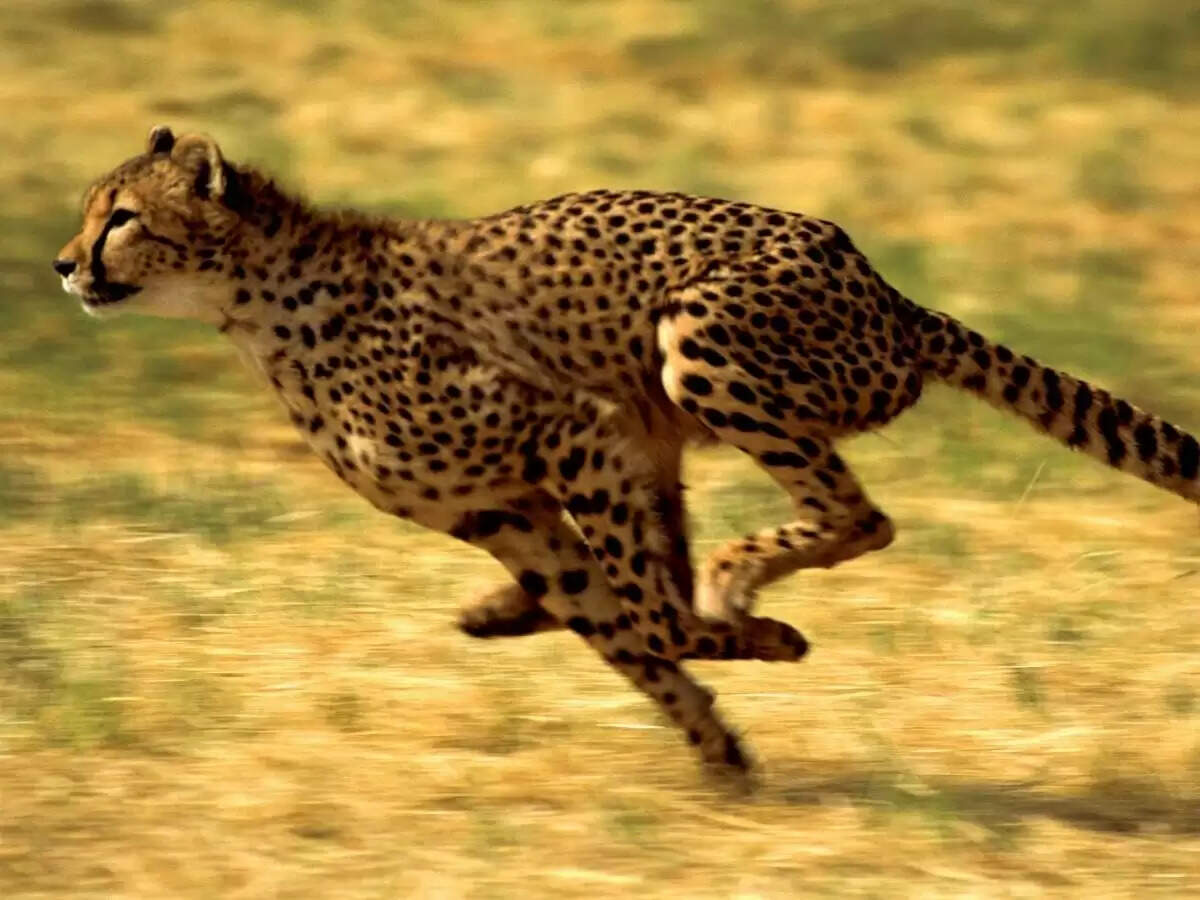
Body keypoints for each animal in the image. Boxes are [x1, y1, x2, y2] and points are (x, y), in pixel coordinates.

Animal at [54, 126, 1200, 777]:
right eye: (90, 211)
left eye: (123, 218)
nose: (63, 264)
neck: (258, 304)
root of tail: (883, 288)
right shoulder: (508, 511)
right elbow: (626, 634)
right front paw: (721, 750)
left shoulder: (573, 431)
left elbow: (650, 621)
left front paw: (762, 644)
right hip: (668, 419)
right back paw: (528, 612)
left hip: (699, 343)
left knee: (856, 518)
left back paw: (737, 582)